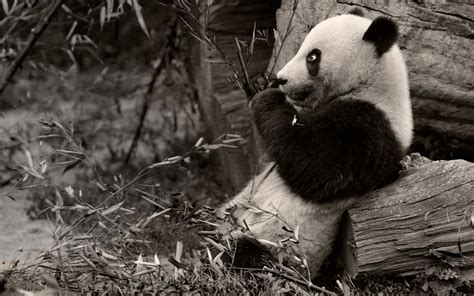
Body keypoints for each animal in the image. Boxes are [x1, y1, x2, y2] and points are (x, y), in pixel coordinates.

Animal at [218, 8, 412, 278]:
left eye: (313, 57)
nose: (281, 79)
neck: (371, 84)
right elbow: (267, 156)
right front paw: (257, 83)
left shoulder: (369, 128)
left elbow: (314, 165)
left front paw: (267, 97)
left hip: (282, 248)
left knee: (247, 258)